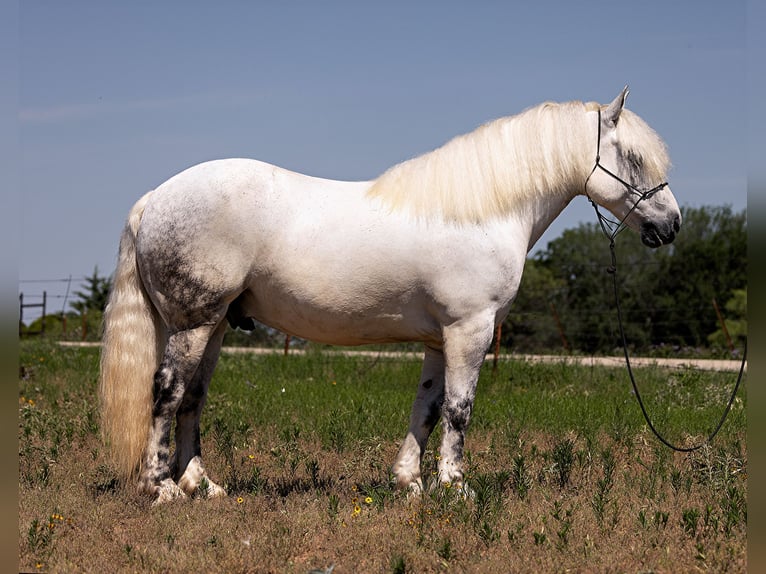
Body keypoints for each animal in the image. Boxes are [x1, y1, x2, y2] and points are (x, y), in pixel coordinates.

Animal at [100, 88, 684, 506]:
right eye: (632, 157)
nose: (672, 225)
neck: (483, 211)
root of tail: (156, 198)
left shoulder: (439, 339)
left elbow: (427, 407)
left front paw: (410, 482)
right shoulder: (470, 330)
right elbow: (459, 410)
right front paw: (457, 488)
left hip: (216, 326)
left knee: (193, 399)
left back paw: (203, 485)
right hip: (193, 325)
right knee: (167, 393)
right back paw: (162, 488)